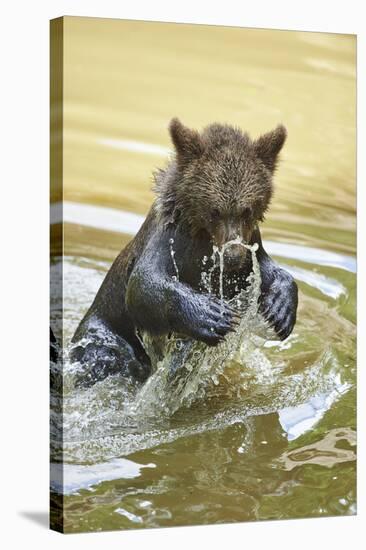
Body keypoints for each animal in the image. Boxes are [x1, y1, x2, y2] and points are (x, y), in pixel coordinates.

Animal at [70, 119, 298, 388]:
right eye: (214, 211)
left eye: (247, 210)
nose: (232, 257)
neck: (202, 235)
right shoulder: (170, 240)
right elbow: (143, 283)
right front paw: (213, 315)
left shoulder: (251, 243)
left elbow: (266, 270)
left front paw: (280, 309)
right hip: (104, 332)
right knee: (103, 355)